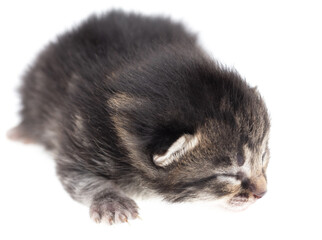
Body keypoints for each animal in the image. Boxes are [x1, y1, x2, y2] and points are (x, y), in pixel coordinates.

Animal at [8, 10, 270, 225]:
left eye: (263, 156)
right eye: (228, 174)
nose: (263, 193)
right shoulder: (78, 136)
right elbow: (81, 179)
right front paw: (111, 202)